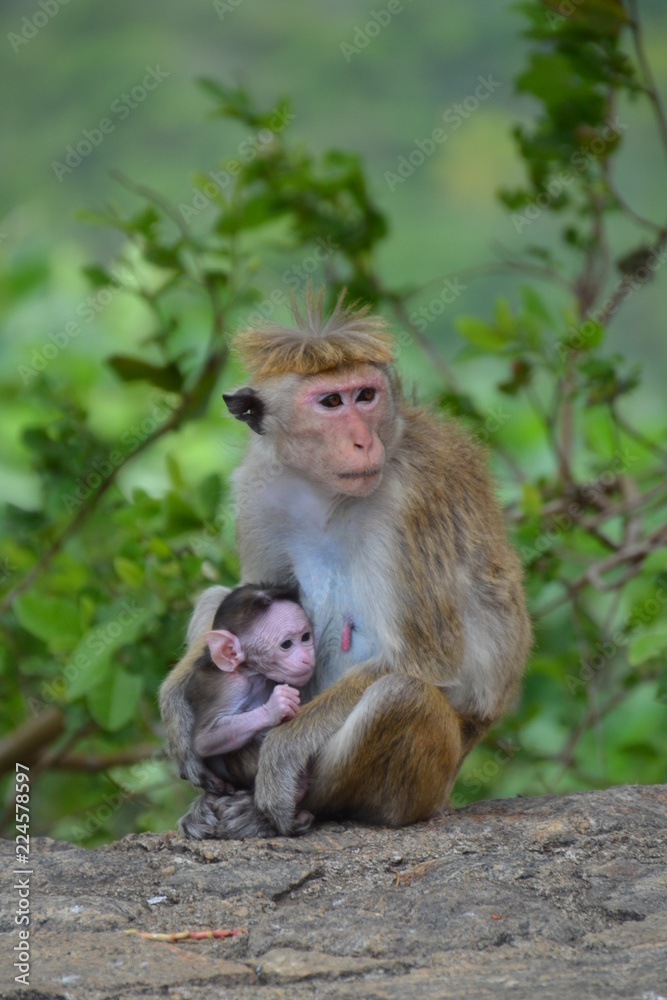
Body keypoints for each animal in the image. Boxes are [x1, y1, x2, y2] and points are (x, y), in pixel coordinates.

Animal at [181, 580, 318, 836]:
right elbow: (205, 739)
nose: (307, 657)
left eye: (305, 637)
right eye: (286, 644)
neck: (253, 674)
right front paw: (276, 706)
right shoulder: (229, 687)